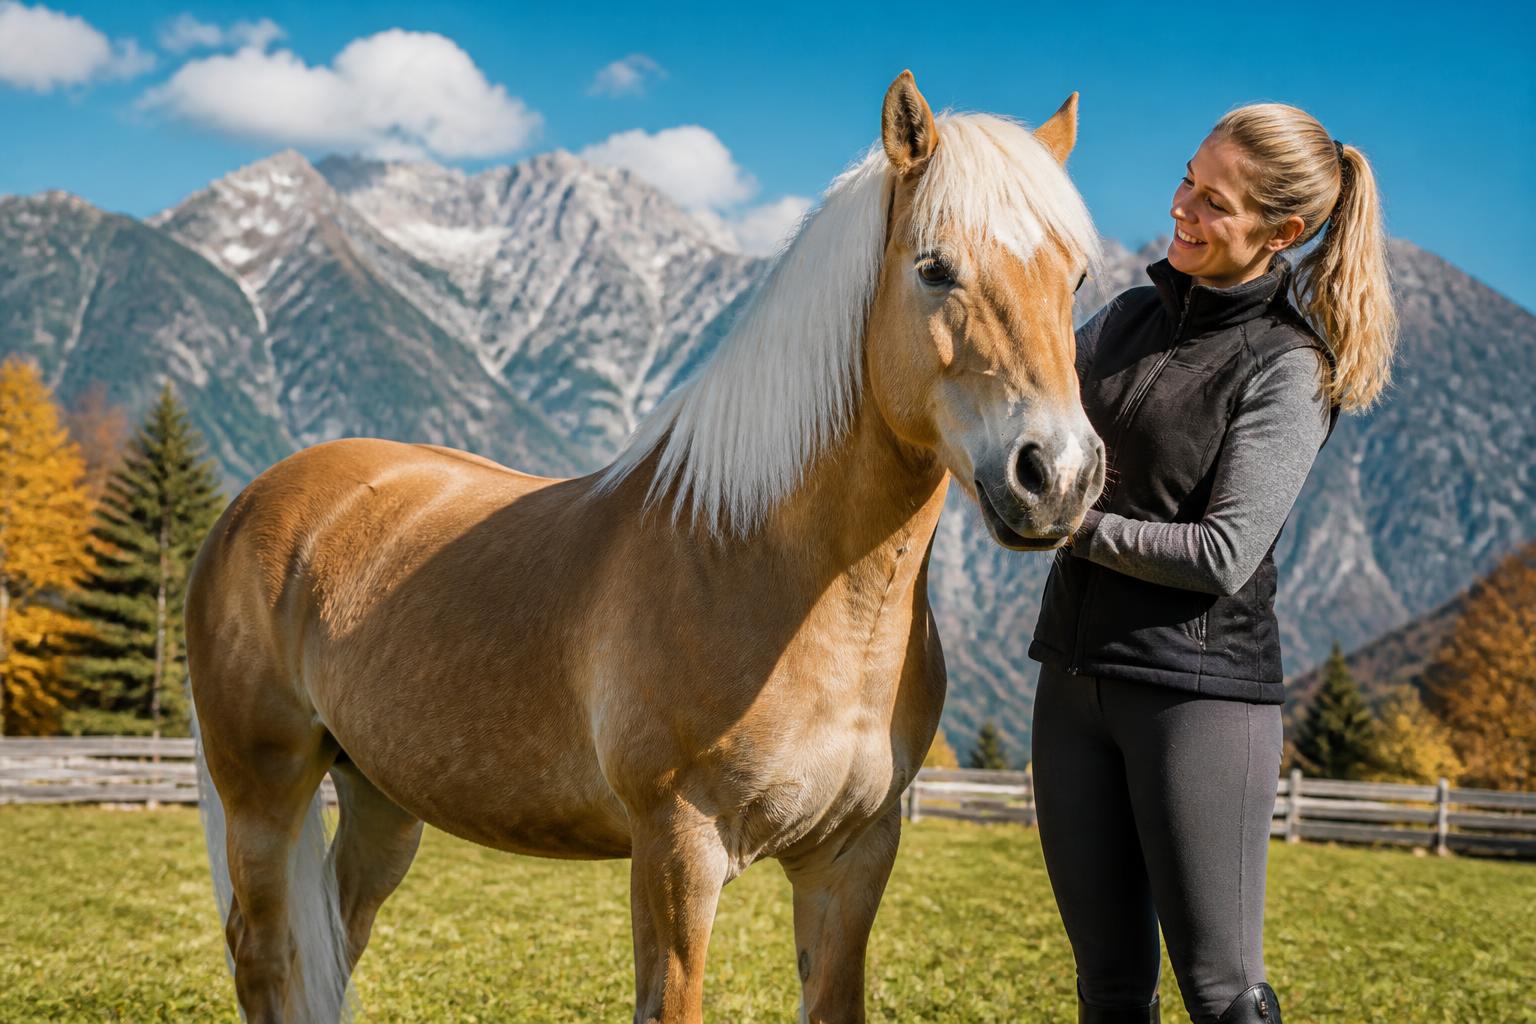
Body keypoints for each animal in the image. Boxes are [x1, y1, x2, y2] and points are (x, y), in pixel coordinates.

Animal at [185, 70, 1105, 1024]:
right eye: (934, 267)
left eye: (1075, 280)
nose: (1058, 476)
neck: (765, 568)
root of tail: (257, 500)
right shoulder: (676, 850)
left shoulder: (852, 855)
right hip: (263, 788)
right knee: (264, 954)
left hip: (380, 796)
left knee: (336, 935)